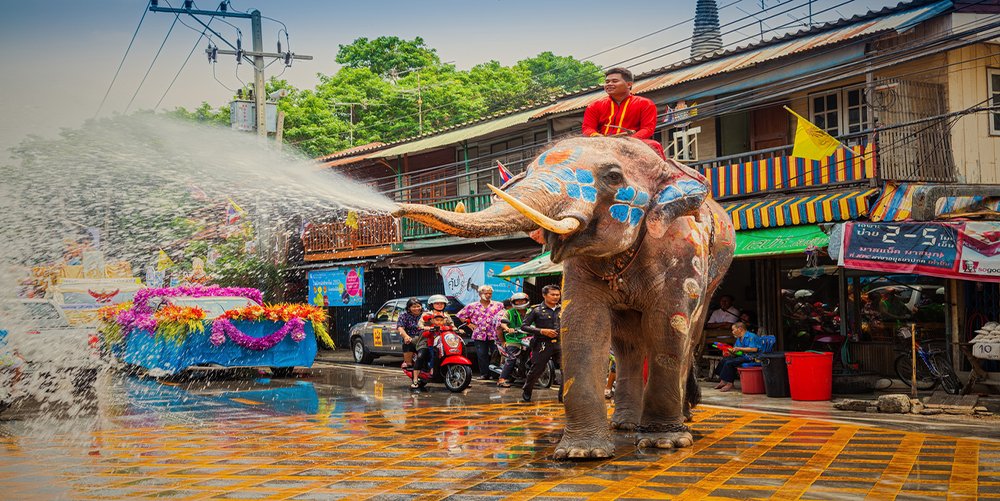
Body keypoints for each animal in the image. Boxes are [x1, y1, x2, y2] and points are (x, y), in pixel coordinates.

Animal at [392, 136, 736, 458]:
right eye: (529, 171)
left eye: (613, 176)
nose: (395, 209)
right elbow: (583, 323)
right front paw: (582, 453)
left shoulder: (683, 250)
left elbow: (667, 325)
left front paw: (663, 443)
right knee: (627, 343)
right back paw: (624, 424)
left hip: (715, 273)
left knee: (688, 335)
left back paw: (680, 420)